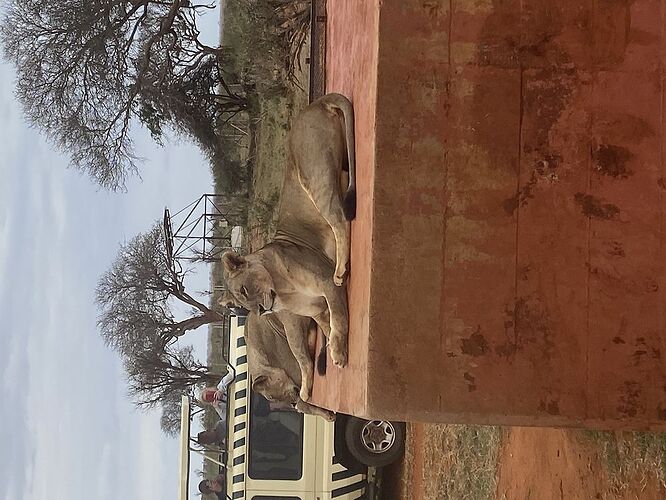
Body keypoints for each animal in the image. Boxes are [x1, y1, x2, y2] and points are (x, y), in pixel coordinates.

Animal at [220, 93, 356, 398]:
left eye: (244, 290)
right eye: (240, 305)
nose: (261, 311)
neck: (281, 290)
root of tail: (316, 103)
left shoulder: (324, 285)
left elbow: (340, 319)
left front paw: (339, 354)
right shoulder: (317, 311)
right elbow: (328, 327)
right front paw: (329, 351)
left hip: (314, 177)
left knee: (341, 220)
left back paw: (341, 269)